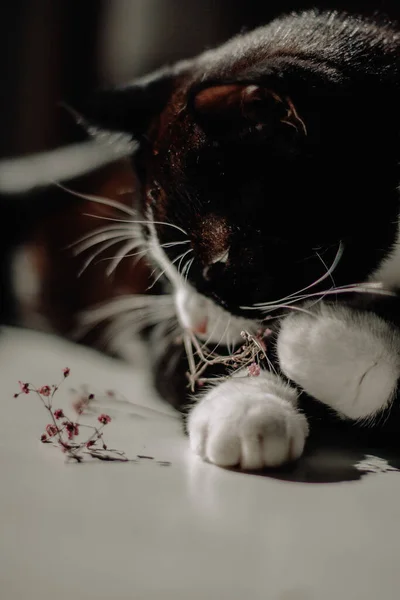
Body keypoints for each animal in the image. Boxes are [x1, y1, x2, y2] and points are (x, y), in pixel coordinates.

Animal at [7, 9, 400, 468]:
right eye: (159, 263)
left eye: (221, 268)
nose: (195, 322)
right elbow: (192, 355)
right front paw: (248, 410)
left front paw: (329, 343)